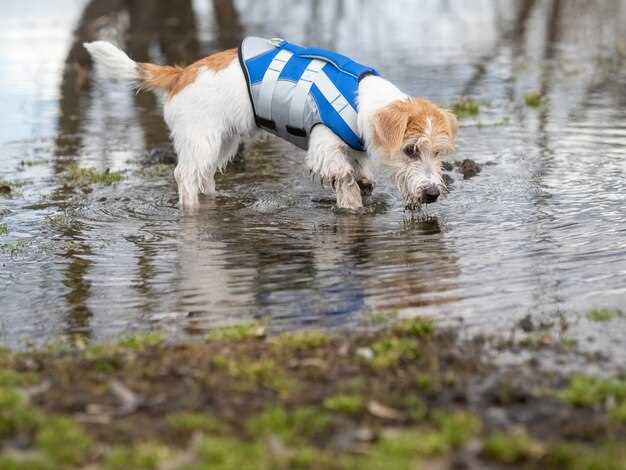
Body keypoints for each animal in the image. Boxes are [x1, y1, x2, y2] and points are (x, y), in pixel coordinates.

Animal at [83, 37, 456, 213]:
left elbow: (360, 171)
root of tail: (180, 75)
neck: (361, 100)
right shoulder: (323, 147)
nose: (433, 194)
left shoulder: (355, 146)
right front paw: (351, 203)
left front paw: (363, 186)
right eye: (410, 150)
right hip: (202, 139)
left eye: (438, 153)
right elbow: (344, 177)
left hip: (222, 142)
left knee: (204, 176)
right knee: (185, 176)